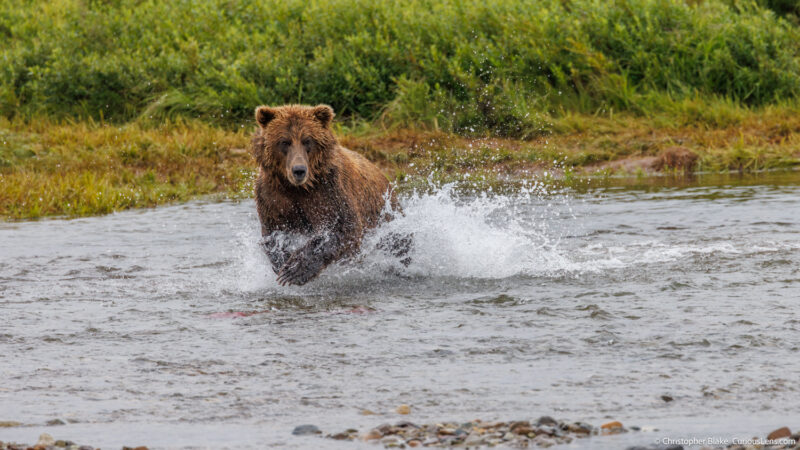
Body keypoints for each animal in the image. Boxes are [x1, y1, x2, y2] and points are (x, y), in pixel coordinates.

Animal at [250, 104, 404, 284]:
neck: (297, 188)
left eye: (307, 140)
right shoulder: (272, 196)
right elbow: (273, 233)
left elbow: (343, 227)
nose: (299, 170)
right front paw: (282, 261)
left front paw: (294, 270)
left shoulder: (329, 191)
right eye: (284, 142)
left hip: (386, 215)